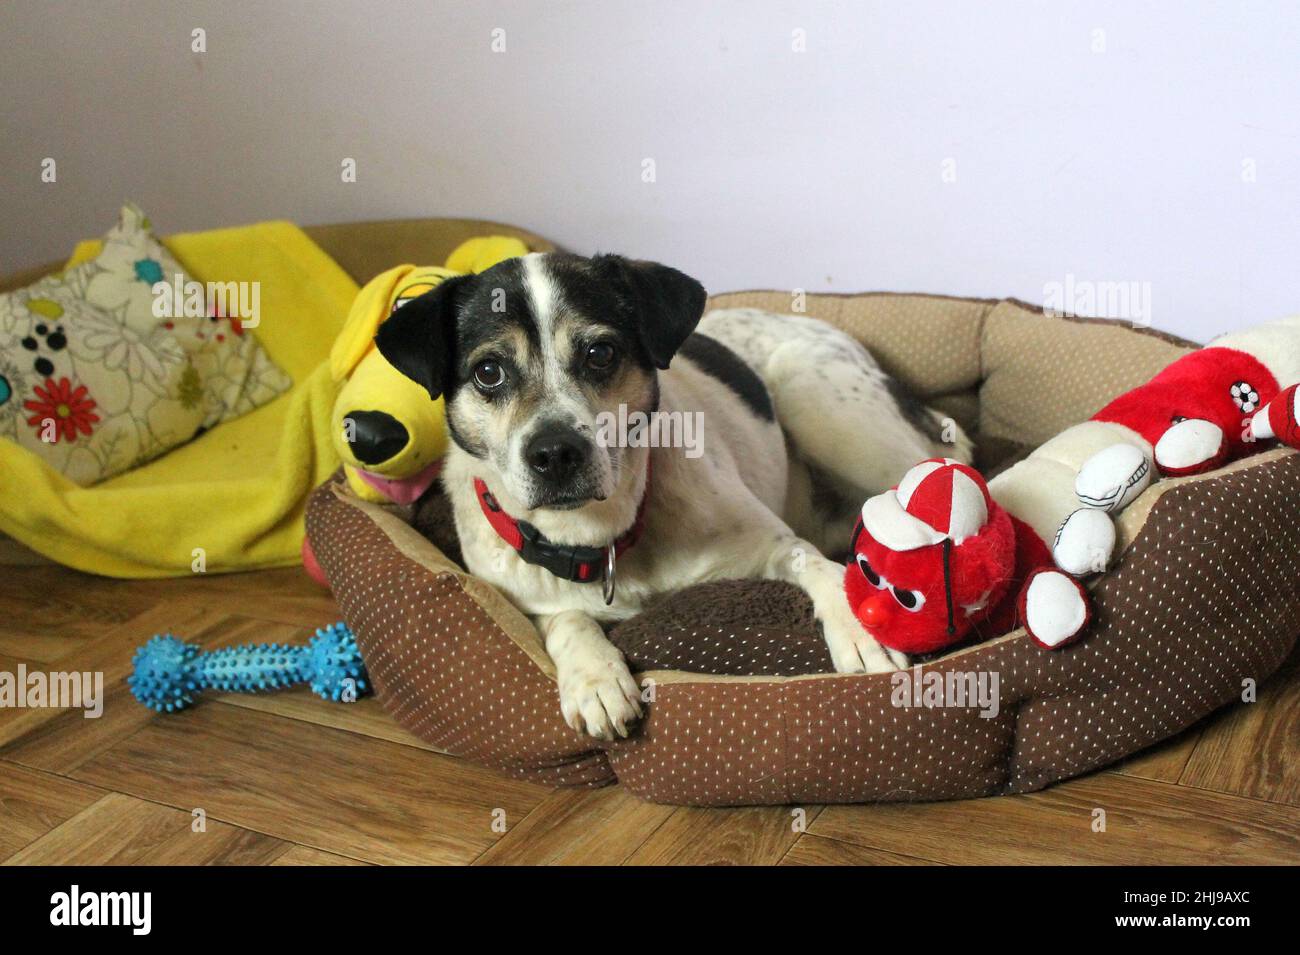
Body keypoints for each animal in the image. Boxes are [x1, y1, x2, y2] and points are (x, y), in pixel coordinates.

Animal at [374, 252, 967, 738]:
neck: (605, 535)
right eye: (489, 371)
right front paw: (594, 676)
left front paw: (858, 624)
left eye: (600, 353)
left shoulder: (773, 543)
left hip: (818, 399)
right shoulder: (522, 597)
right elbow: (562, 618)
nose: (555, 453)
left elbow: (819, 565)